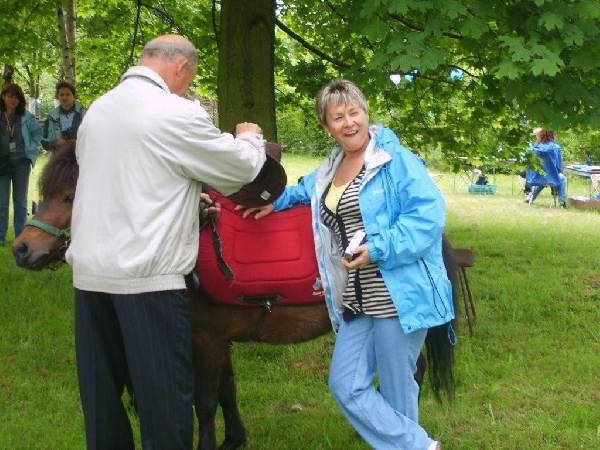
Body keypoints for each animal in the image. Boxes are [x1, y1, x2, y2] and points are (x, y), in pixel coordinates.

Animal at [13, 142, 458, 450]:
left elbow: (206, 400)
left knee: (411, 372)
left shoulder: (206, 339)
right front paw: (234, 439)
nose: (22, 249)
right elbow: (226, 390)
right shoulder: (218, 339)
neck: (187, 237)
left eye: (71, 196)